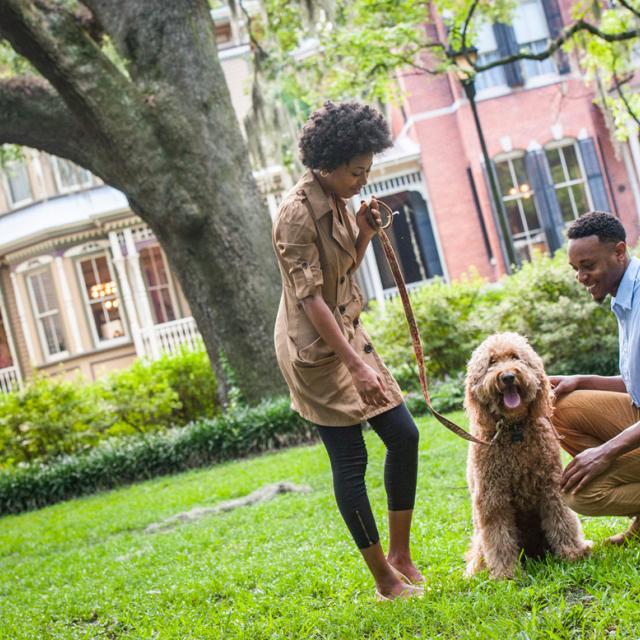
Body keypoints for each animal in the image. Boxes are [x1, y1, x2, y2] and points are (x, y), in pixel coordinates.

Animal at [460, 332, 592, 576]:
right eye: (491, 362)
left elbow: (562, 518)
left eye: (515, 357)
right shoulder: (492, 498)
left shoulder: (551, 484)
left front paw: (573, 553)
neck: (515, 431)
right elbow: (499, 537)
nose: (508, 377)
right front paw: (506, 573)